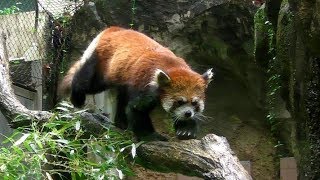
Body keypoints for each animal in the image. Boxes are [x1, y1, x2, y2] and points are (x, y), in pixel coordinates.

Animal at [58, 26, 214, 139]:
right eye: (179, 102)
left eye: (195, 103)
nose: (188, 113)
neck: (172, 67)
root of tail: (113, 29)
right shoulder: (146, 87)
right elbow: (136, 109)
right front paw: (149, 136)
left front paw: (186, 129)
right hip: (102, 65)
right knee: (86, 83)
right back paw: (77, 99)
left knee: (121, 98)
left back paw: (120, 122)